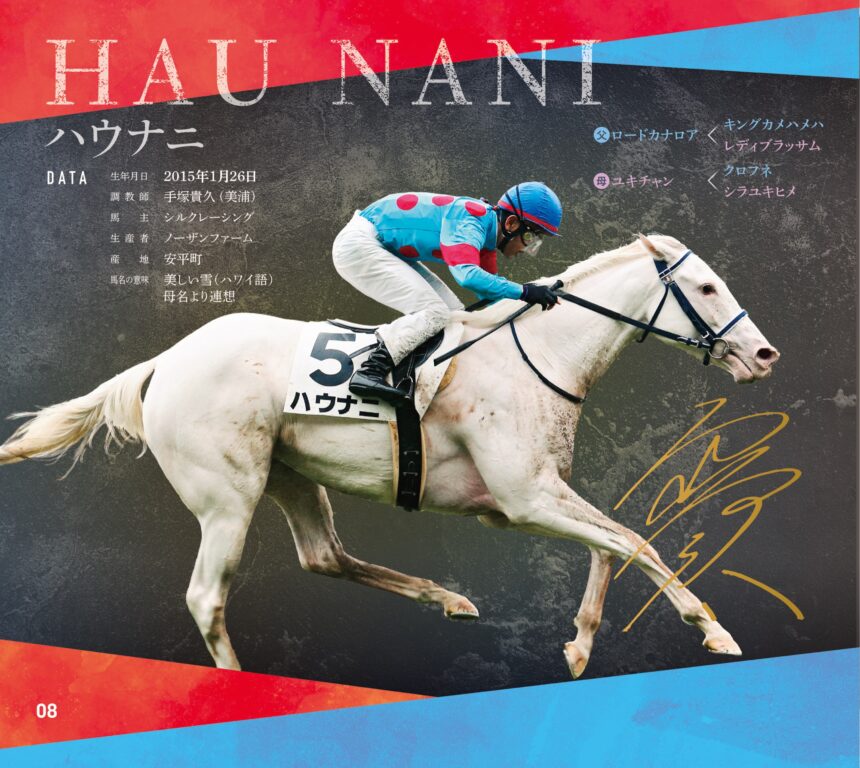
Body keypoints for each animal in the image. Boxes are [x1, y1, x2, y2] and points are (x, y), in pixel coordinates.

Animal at [0, 234, 779, 680]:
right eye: (707, 287)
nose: (765, 353)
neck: (538, 355)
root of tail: (166, 359)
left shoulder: (534, 496)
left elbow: (610, 544)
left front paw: (581, 646)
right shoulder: (523, 499)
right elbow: (636, 542)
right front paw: (712, 628)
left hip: (290, 477)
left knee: (324, 557)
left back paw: (448, 598)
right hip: (228, 496)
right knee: (207, 597)